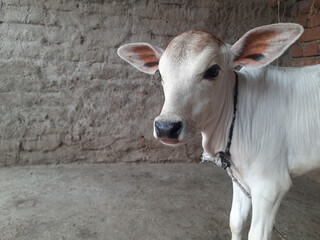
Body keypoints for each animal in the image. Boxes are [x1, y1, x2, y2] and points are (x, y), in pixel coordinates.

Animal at [117, 23, 320, 240]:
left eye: (213, 71)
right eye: (160, 74)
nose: (166, 127)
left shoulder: (270, 185)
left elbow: (256, 234)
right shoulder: (240, 178)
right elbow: (236, 222)